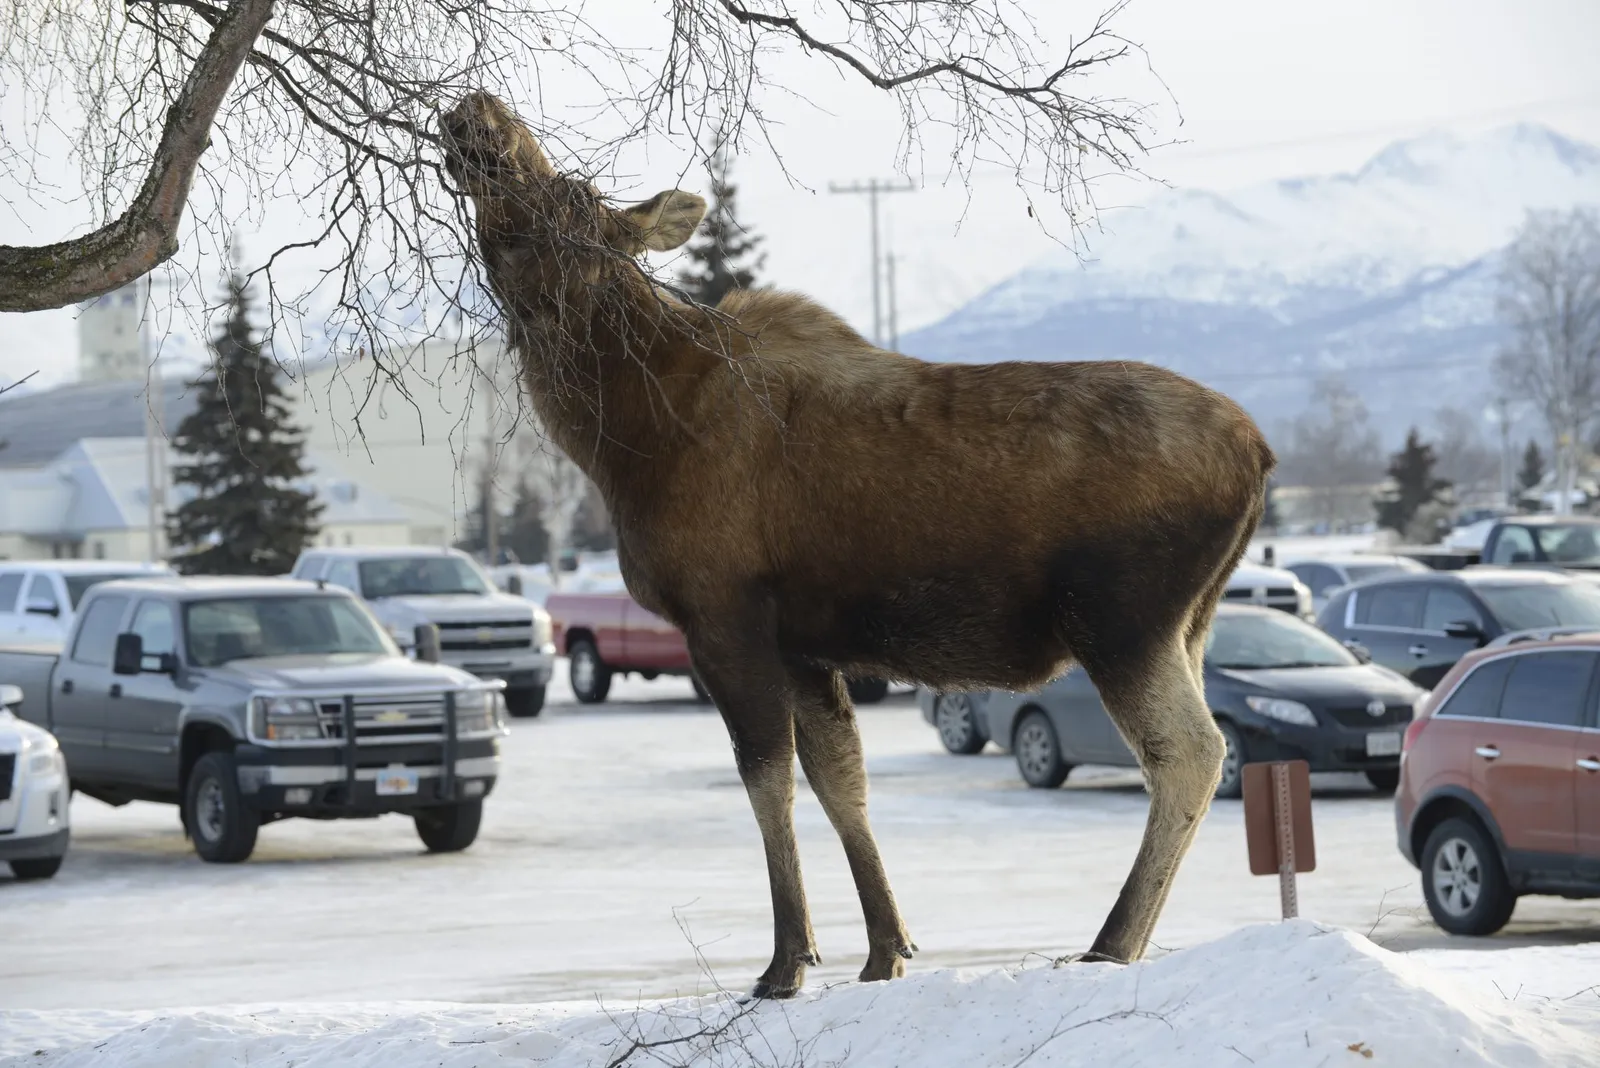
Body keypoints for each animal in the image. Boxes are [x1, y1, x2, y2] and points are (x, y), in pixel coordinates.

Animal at [441, 92, 1275, 1000]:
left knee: (1189, 754)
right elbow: (842, 782)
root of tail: (1260, 453)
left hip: (1120, 617)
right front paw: (885, 951)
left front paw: (785, 962)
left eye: (567, 204)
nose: (479, 110)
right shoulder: (804, 643)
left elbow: (767, 780)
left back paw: (1110, 944)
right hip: (1186, 621)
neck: (622, 438)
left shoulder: (724, 617)